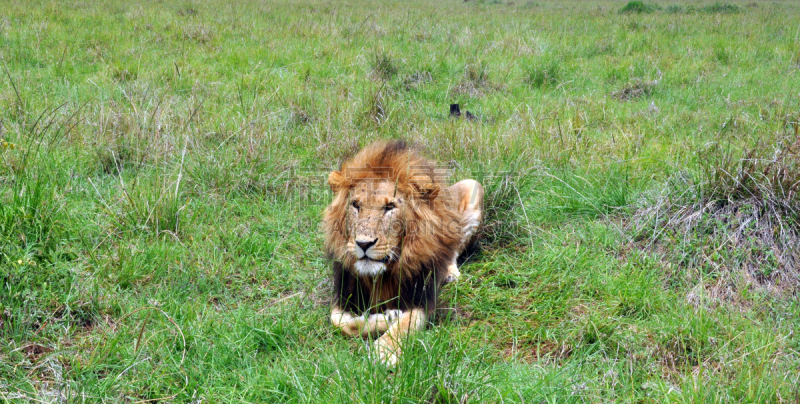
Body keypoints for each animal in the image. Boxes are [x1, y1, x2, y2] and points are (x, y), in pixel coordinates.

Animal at [322, 140, 484, 366]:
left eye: (389, 207)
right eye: (355, 205)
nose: (363, 243)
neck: (381, 275)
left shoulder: (422, 297)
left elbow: (405, 325)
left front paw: (384, 351)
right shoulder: (343, 293)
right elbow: (339, 322)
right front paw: (385, 318)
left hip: (473, 186)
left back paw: (449, 272)